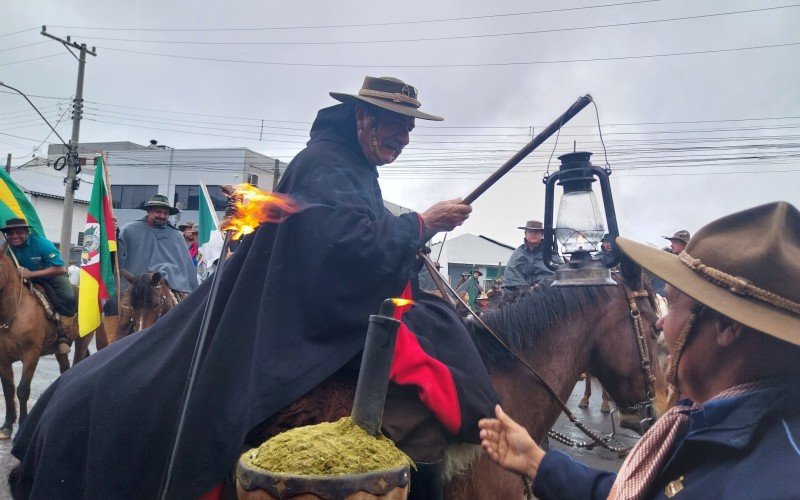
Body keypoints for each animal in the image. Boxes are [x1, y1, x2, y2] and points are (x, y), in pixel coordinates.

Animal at [0, 245, 93, 438]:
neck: (14, 311)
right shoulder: (3, 359)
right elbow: (8, 389)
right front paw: (7, 426)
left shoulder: (31, 355)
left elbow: (22, 390)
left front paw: (22, 425)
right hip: (59, 350)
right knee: (65, 369)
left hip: (84, 340)